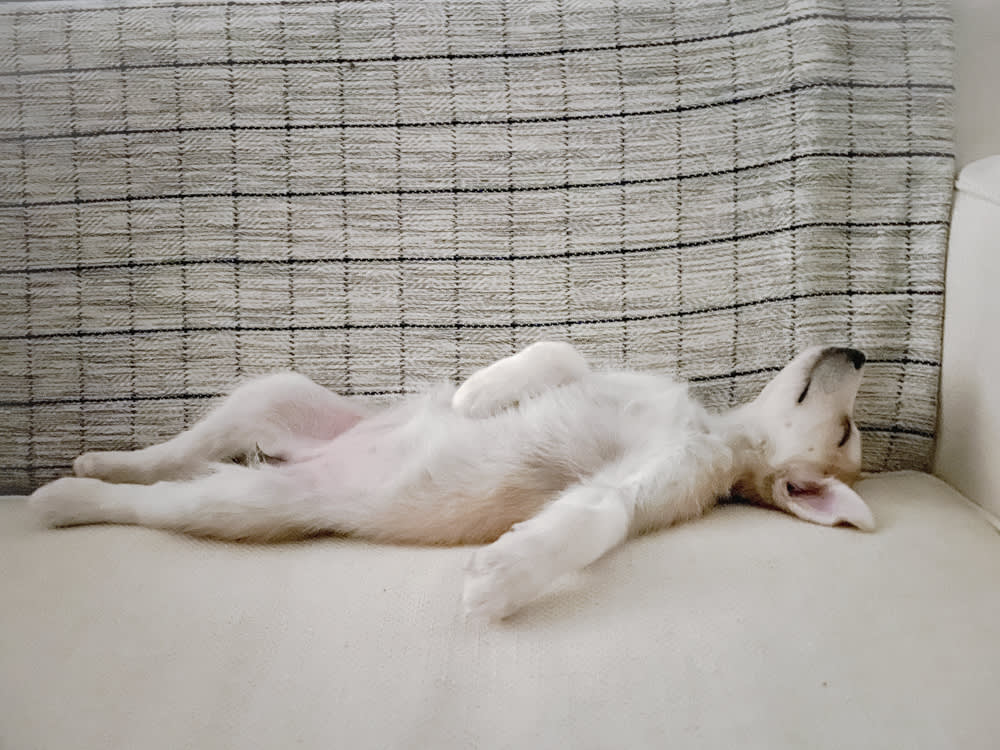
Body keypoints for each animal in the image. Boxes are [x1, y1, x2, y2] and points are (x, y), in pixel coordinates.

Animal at [29, 344, 876, 620]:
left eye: (844, 435)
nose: (860, 352)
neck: (711, 430)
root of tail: (299, 468)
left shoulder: (635, 484)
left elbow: (597, 515)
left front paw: (505, 576)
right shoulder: (603, 378)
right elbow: (560, 353)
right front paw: (480, 392)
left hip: (239, 504)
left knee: (153, 503)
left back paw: (67, 497)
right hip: (276, 396)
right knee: (174, 453)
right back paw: (99, 460)